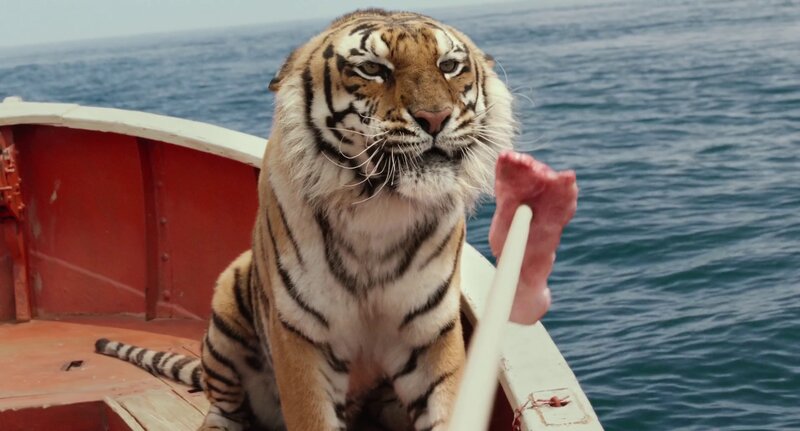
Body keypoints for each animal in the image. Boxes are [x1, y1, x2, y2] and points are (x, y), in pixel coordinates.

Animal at [95, 8, 514, 431]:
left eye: (449, 66)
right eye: (372, 69)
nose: (435, 118)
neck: (378, 209)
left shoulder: (430, 332)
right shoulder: (302, 337)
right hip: (228, 300)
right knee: (224, 405)